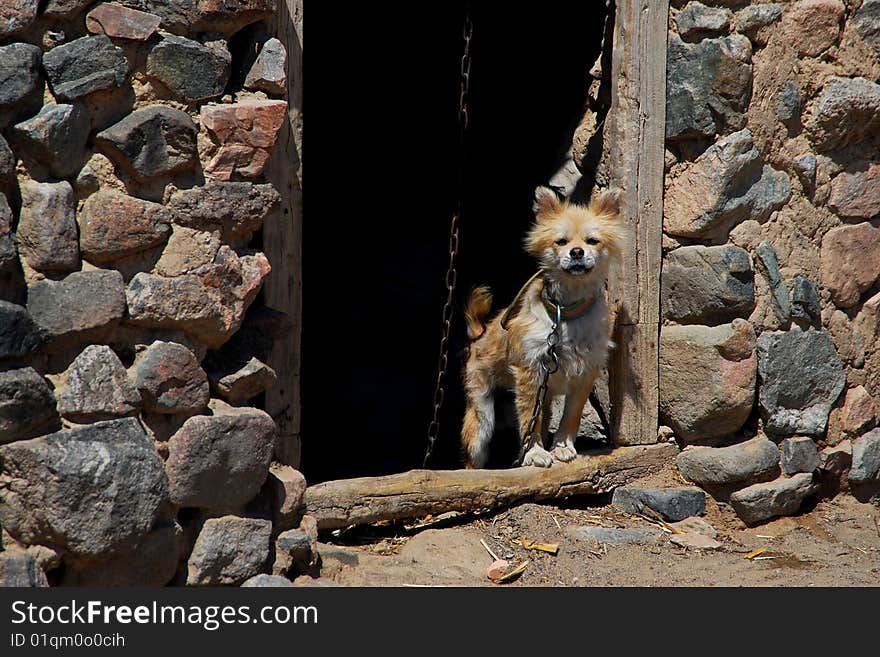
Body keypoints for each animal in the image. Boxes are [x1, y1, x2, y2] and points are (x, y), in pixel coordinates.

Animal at [460, 187, 624, 468]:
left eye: (593, 241)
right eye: (561, 242)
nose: (577, 252)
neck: (566, 312)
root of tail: (478, 335)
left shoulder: (584, 374)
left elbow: (571, 415)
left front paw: (562, 447)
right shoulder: (531, 371)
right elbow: (529, 418)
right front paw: (535, 453)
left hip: (543, 401)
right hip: (481, 414)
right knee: (475, 454)